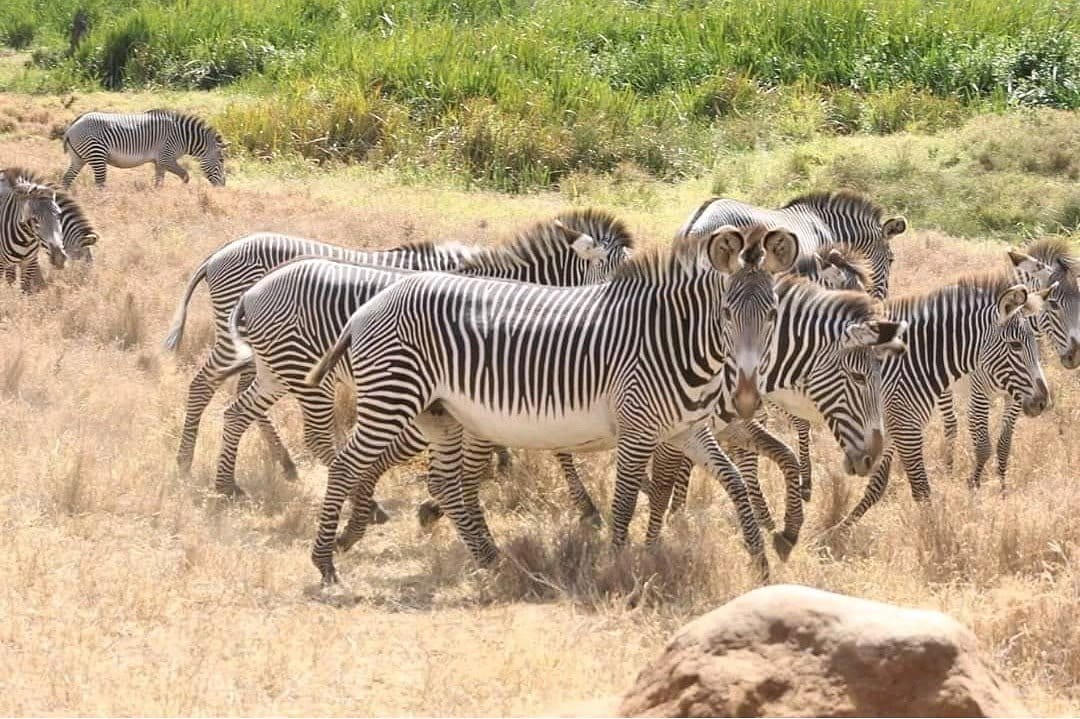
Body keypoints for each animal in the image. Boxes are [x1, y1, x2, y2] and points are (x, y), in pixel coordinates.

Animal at [62, 110, 227, 188]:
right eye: (221, 160)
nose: (223, 185)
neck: (182, 137)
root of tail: (73, 125)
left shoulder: (159, 162)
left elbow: (159, 182)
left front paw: (157, 197)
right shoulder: (166, 157)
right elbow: (185, 175)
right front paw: (183, 192)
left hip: (79, 158)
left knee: (67, 178)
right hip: (97, 154)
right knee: (100, 183)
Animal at [209, 210, 633, 501]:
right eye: (606, 270)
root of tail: (252, 290)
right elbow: (560, 447)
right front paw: (585, 507)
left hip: (276, 369)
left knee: (237, 410)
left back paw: (230, 484)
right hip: (303, 373)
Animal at [302, 224, 798, 586]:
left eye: (773, 314)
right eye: (727, 314)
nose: (747, 397)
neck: (674, 340)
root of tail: (368, 307)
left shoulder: (685, 429)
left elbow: (735, 482)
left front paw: (760, 561)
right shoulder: (636, 430)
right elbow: (623, 503)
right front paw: (616, 567)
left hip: (439, 414)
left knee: (444, 482)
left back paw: (489, 557)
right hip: (393, 399)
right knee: (345, 466)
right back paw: (325, 562)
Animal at [830, 273, 1051, 533]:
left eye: (1036, 342)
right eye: (1015, 345)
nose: (1042, 401)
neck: (915, 362)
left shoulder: (894, 425)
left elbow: (879, 482)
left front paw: (843, 527)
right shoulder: (905, 425)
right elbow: (921, 489)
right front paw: (935, 534)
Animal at [938, 240, 1079, 490]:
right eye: (1053, 305)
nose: (1075, 356)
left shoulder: (1017, 397)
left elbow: (1004, 443)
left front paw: (1002, 489)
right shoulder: (980, 393)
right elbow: (983, 446)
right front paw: (974, 487)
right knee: (951, 424)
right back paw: (948, 467)